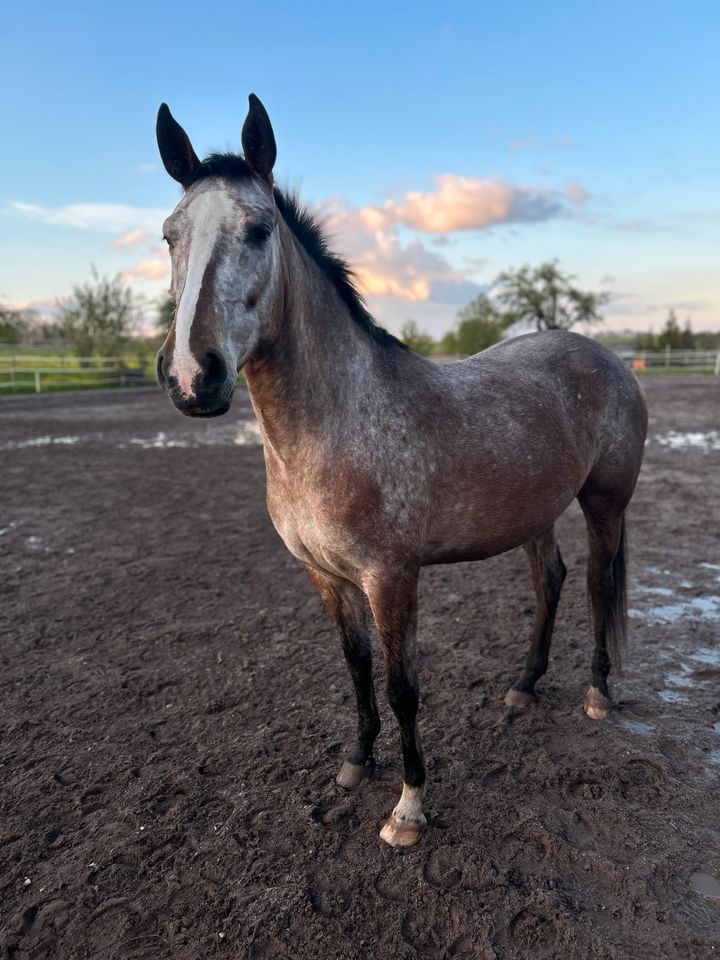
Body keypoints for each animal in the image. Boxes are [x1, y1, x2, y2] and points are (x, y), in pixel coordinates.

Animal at [155, 94, 648, 848]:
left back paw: (597, 693)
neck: (338, 423)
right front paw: (356, 763)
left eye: (259, 230)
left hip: (605, 505)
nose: (191, 377)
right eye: (169, 236)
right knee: (551, 582)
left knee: (596, 586)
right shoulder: (325, 576)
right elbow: (356, 668)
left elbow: (401, 684)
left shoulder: (391, 578)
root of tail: (608, 357)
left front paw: (409, 806)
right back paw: (523, 688)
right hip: (535, 512)